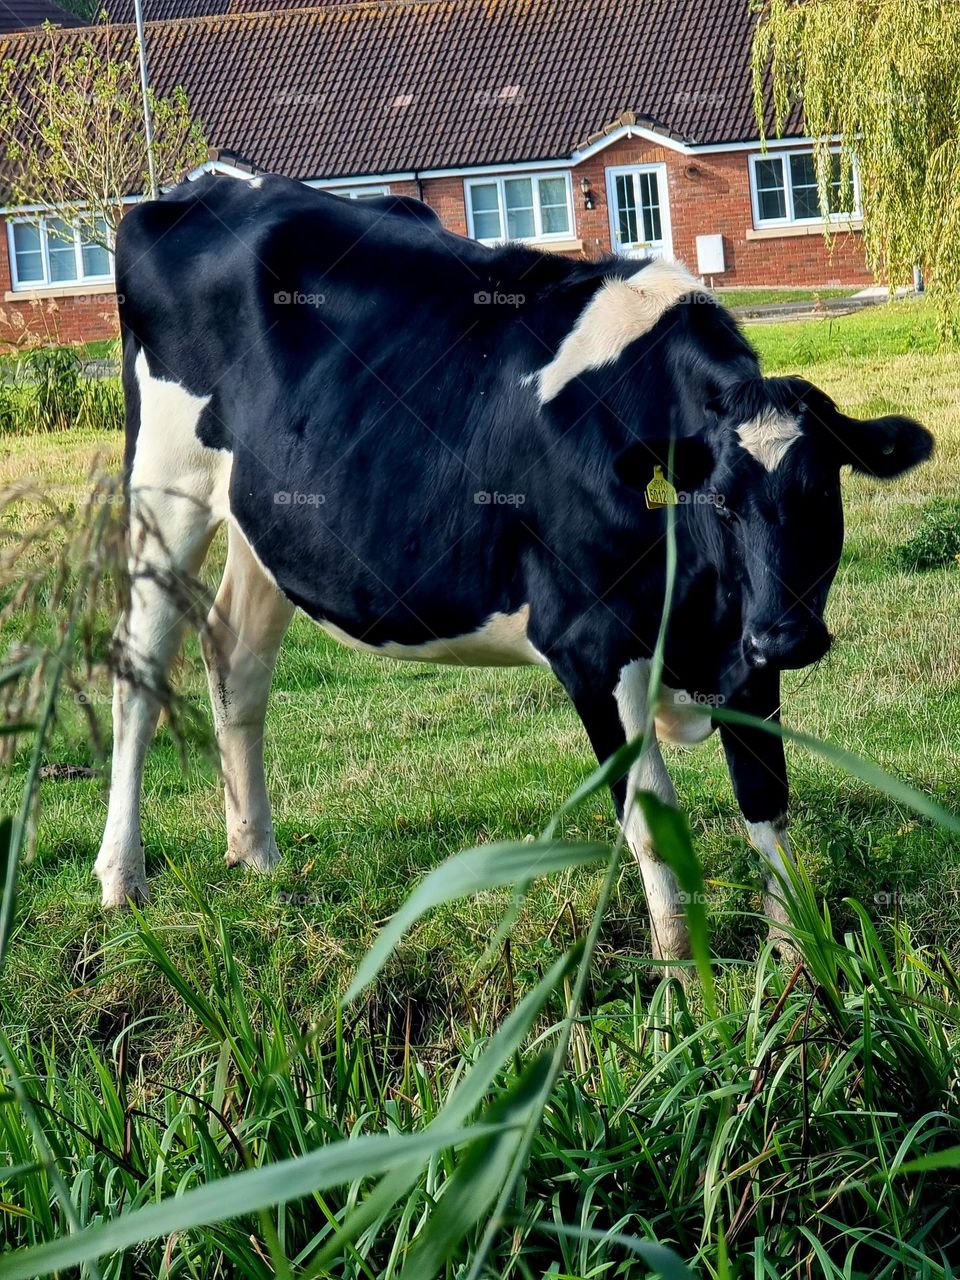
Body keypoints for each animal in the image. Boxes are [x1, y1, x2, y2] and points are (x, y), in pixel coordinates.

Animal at [93, 173, 933, 962]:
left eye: (822, 491)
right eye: (719, 501)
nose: (789, 636)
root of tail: (203, 187)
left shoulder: (743, 650)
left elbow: (767, 803)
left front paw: (797, 959)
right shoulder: (590, 648)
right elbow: (650, 820)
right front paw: (679, 972)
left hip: (264, 523)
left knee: (237, 658)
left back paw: (256, 854)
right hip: (165, 488)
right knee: (139, 673)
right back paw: (122, 878)